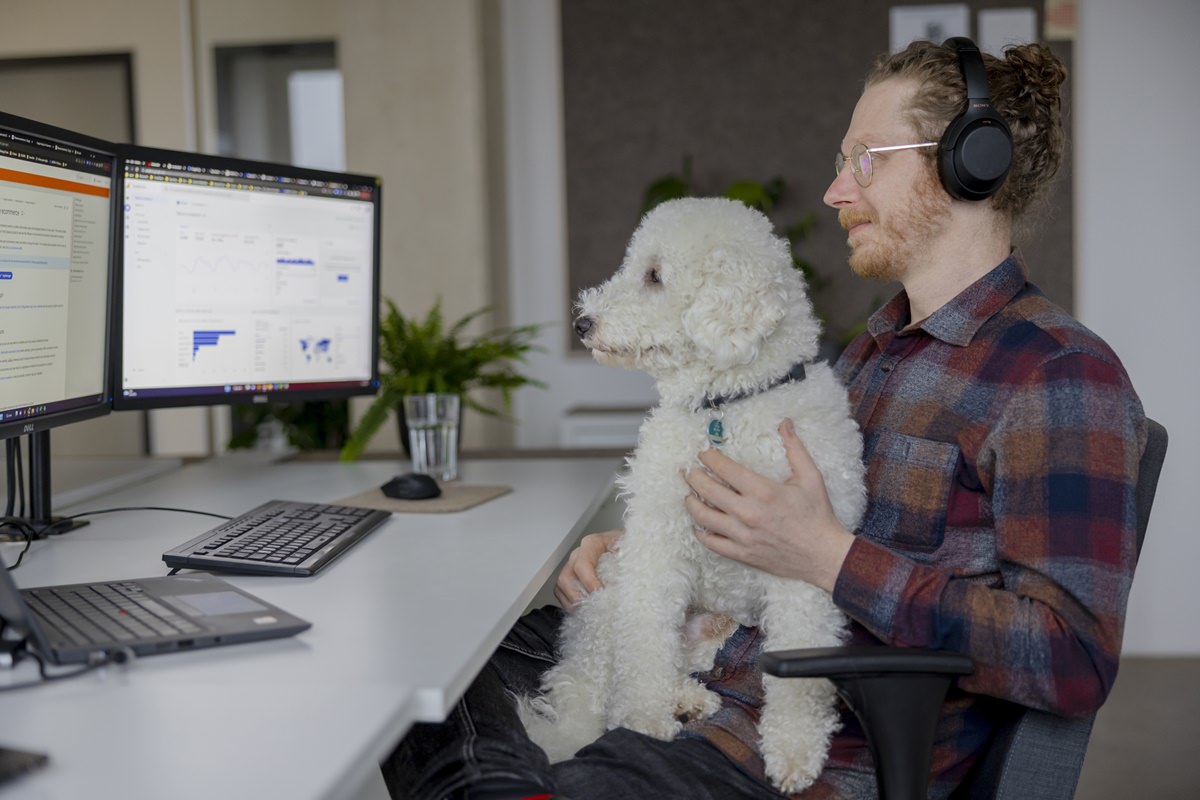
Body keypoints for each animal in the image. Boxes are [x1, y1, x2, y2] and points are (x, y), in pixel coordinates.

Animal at [520, 195, 868, 796]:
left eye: (655, 276)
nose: (583, 322)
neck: (725, 409)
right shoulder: (655, 546)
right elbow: (644, 650)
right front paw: (645, 717)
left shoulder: (804, 563)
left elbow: (799, 663)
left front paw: (795, 751)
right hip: (611, 595)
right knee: (609, 684)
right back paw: (669, 702)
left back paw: (687, 699)